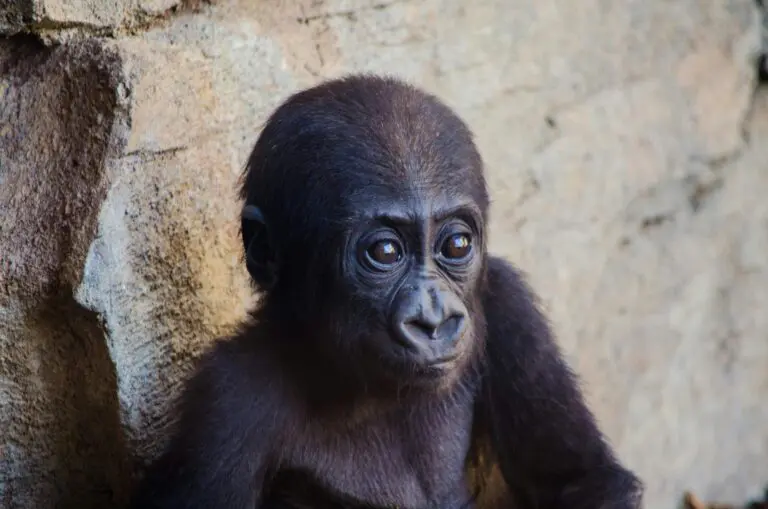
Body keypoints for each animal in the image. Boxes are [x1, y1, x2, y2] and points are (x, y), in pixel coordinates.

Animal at [129, 74, 643, 509]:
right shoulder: (226, 404)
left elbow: (585, 479)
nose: (433, 321)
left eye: (456, 244)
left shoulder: (510, 307)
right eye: (385, 251)